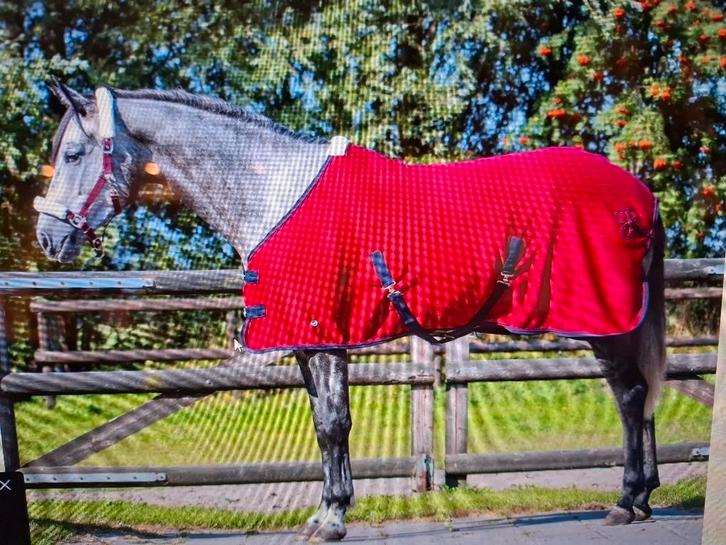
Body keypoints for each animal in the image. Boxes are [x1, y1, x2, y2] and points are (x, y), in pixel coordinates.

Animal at [35, 84, 666, 541]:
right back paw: (642, 499)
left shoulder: (322, 336)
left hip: (602, 323)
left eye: (73, 153)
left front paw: (334, 519)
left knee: (630, 396)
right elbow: (323, 425)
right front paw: (323, 513)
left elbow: (334, 424)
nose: (47, 238)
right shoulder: (306, 342)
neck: (272, 193)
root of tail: (639, 194)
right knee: (642, 396)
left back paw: (626, 500)